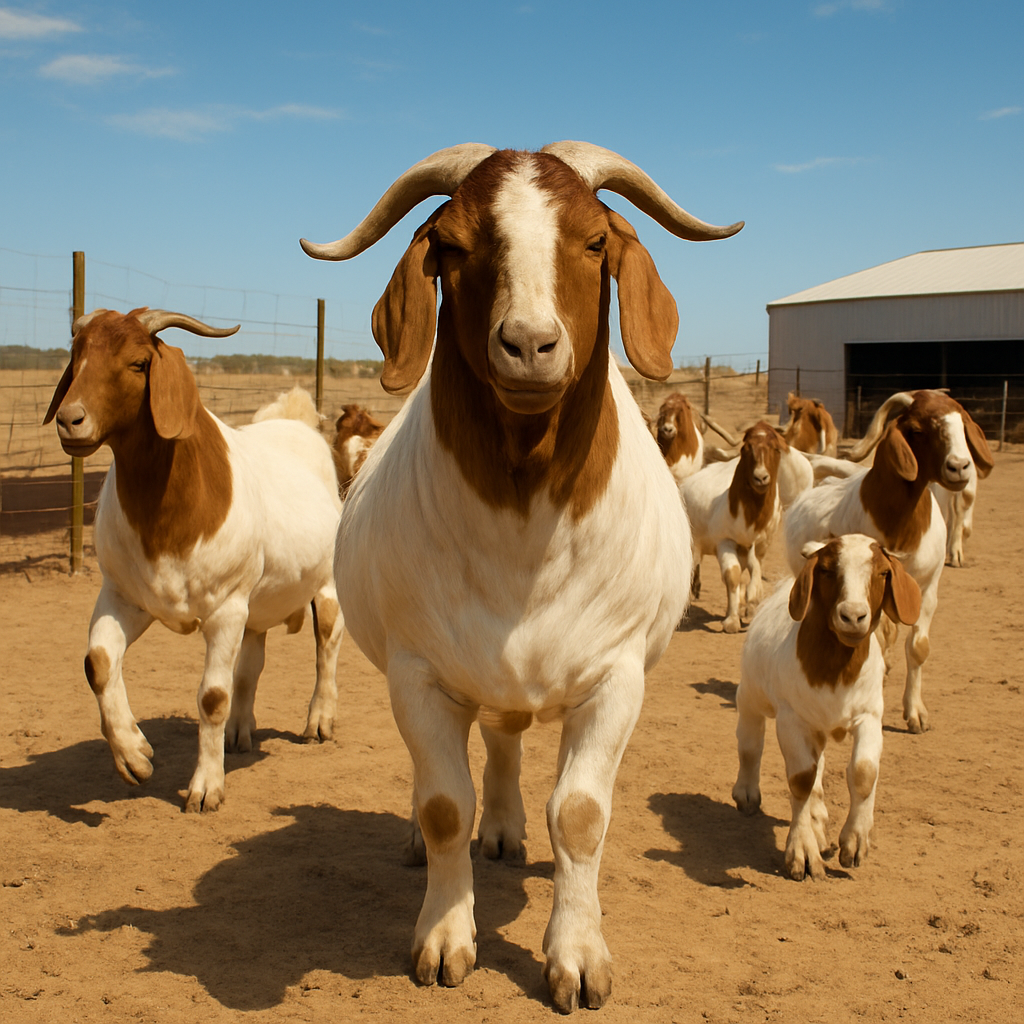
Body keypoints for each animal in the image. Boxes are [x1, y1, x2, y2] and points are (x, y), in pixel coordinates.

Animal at [44, 308, 345, 812]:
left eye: (139, 362)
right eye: (76, 355)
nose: (70, 419)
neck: (168, 517)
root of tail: (296, 420)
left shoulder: (226, 608)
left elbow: (212, 697)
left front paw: (206, 787)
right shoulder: (124, 595)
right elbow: (98, 663)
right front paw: (134, 754)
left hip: (323, 583)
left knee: (327, 643)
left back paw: (319, 719)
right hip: (256, 603)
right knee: (252, 661)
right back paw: (239, 731)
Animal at [301, 141, 742, 1011]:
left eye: (596, 240)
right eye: (451, 246)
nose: (531, 345)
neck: (523, 519)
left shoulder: (616, 676)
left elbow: (580, 815)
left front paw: (577, 955)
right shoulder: (417, 673)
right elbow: (445, 805)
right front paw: (445, 935)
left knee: (505, 740)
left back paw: (506, 828)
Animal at [681, 422, 786, 633]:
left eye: (776, 448)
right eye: (747, 448)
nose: (761, 478)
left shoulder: (761, 543)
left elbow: (756, 570)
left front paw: (751, 602)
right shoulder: (725, 542)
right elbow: (732, 575)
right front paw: (731, 620)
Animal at [733, 534, 921, 880]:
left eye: (883, 573)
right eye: (827, 570)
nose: (853, 615)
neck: (835, 669)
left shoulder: (869, 715)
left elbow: (863, 771)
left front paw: (855, 842)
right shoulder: (791, 719)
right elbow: (800, 779)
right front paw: (802, 852)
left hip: (817, 727)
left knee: (818, 765)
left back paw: (820, 822)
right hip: (751, 694)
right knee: (750, 743)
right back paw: (748, 794)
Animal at [784, 389, 993, 733]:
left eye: (962, 424)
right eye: (919, 430)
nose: (960, 467)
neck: (900, 527)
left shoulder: (927, 587)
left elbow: (917, 647)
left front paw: (916, 713)